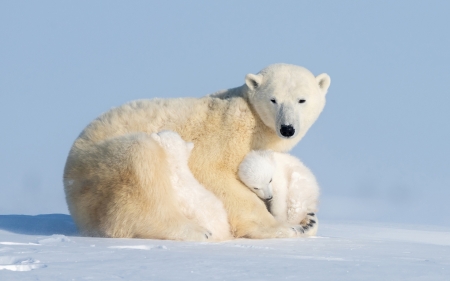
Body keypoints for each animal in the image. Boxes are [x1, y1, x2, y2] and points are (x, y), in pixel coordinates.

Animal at [63, 63, 330, 238]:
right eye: (273, 99)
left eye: (302, 100)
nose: (287, 128)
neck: (254, 123)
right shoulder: (224, 133)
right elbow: (213, 172)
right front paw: (283, 227)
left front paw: (307, 220)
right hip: (95, 168)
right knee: (139, 163)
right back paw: (195, 231)